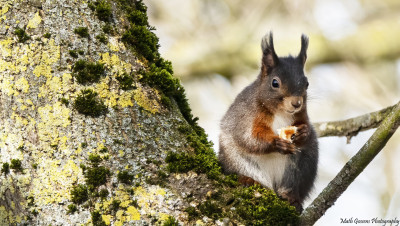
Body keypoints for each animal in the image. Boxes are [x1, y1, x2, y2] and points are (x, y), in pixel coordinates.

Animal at [219, 31, 318, 212]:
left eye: (307, 83)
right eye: (275, 83)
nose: (296, 103)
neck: (281, 112)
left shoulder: (301, 116)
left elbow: (306, 128)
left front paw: (303, 132)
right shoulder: (246, 117)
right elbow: (248, 137)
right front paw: (277, 143)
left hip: (304, 164)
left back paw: (291, 197)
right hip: (237, 161)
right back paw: (249, 181)